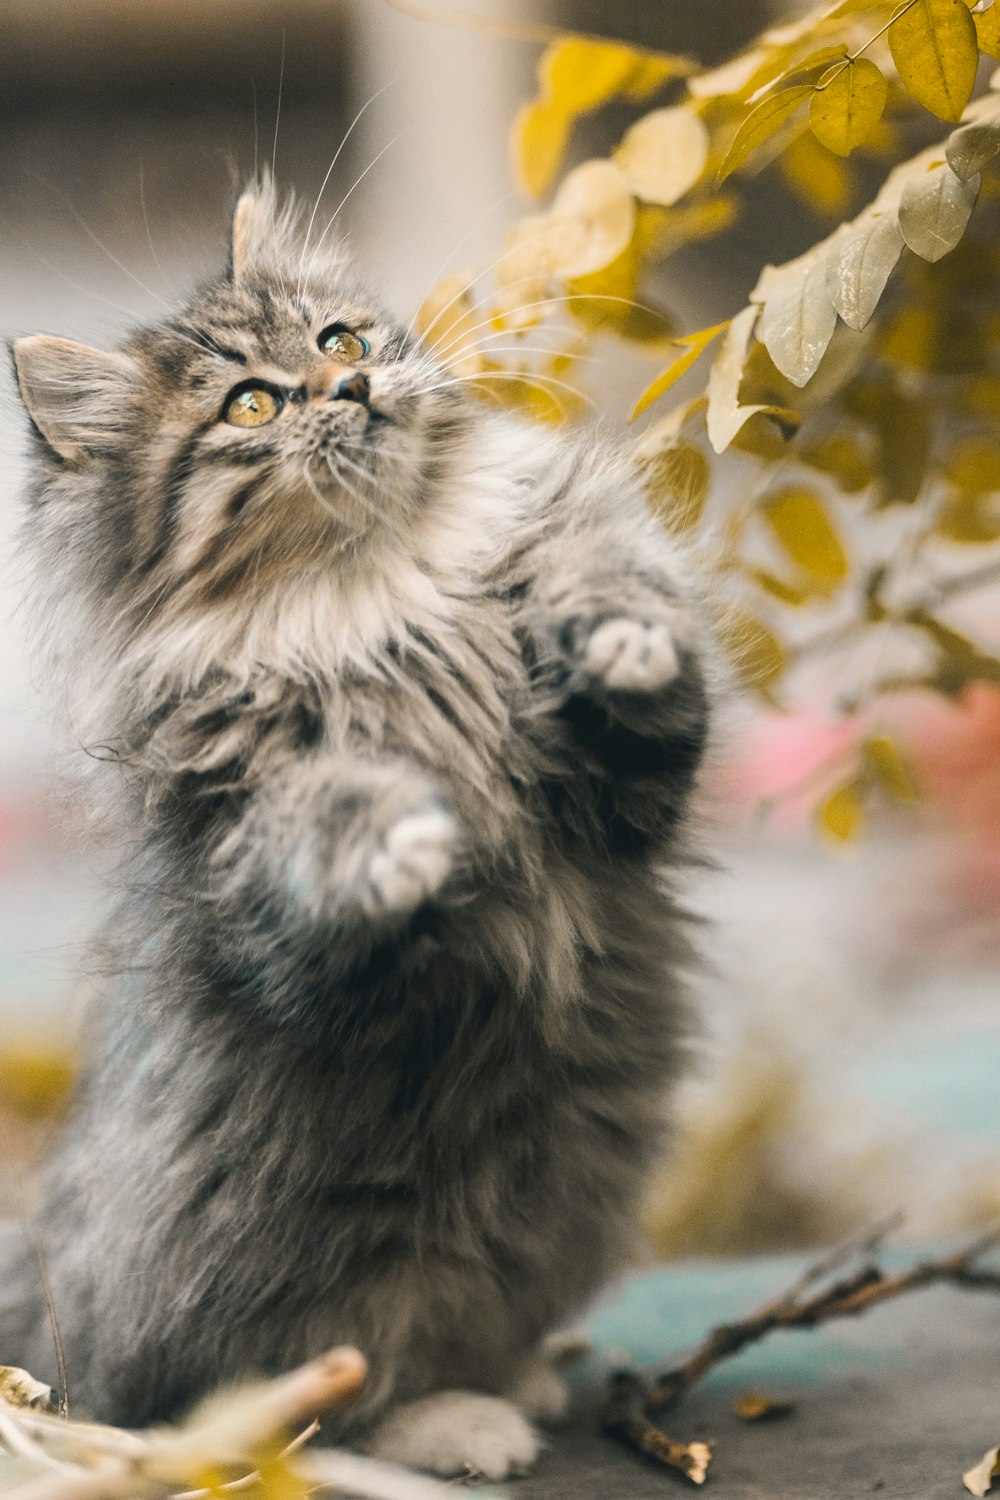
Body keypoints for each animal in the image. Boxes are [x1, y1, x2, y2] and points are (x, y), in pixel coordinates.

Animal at [1, 181, 710, 1482]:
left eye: (337, 338)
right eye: (248, 403)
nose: (353, 387)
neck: (380, 592)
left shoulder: (627, 805)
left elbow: (629, 665)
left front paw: (616, 631)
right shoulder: (272, 896)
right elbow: (333, 828)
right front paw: (396, 839)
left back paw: (518, 1382)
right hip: (318, 1263)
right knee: (322, 1393)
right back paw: (466, 1428)